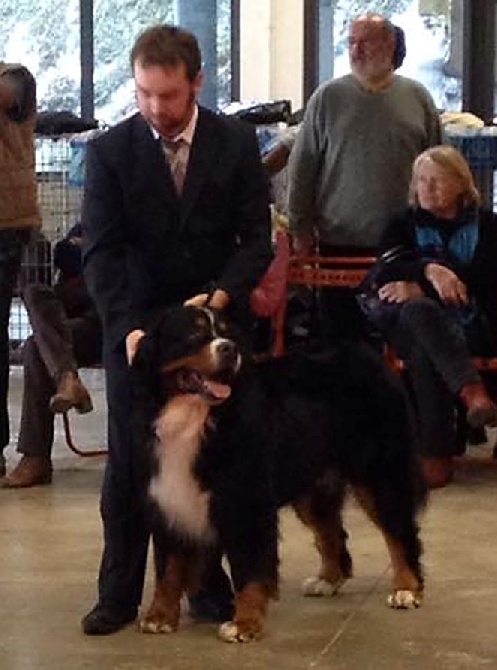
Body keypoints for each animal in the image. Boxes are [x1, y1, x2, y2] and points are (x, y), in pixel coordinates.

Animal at [130, 306, 424, 644]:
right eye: (194, 333)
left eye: (227, 333)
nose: (229, 349)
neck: (195, 418)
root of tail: (368, 353)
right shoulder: (168, 499)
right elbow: (168, 568)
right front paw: (159, 617)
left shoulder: (246, 502)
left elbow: (249, 569)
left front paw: (244, 624)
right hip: (314, 486)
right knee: (332, 531)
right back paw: (327, 580)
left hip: (379, 474)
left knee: (399, 532)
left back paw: (407, 589)